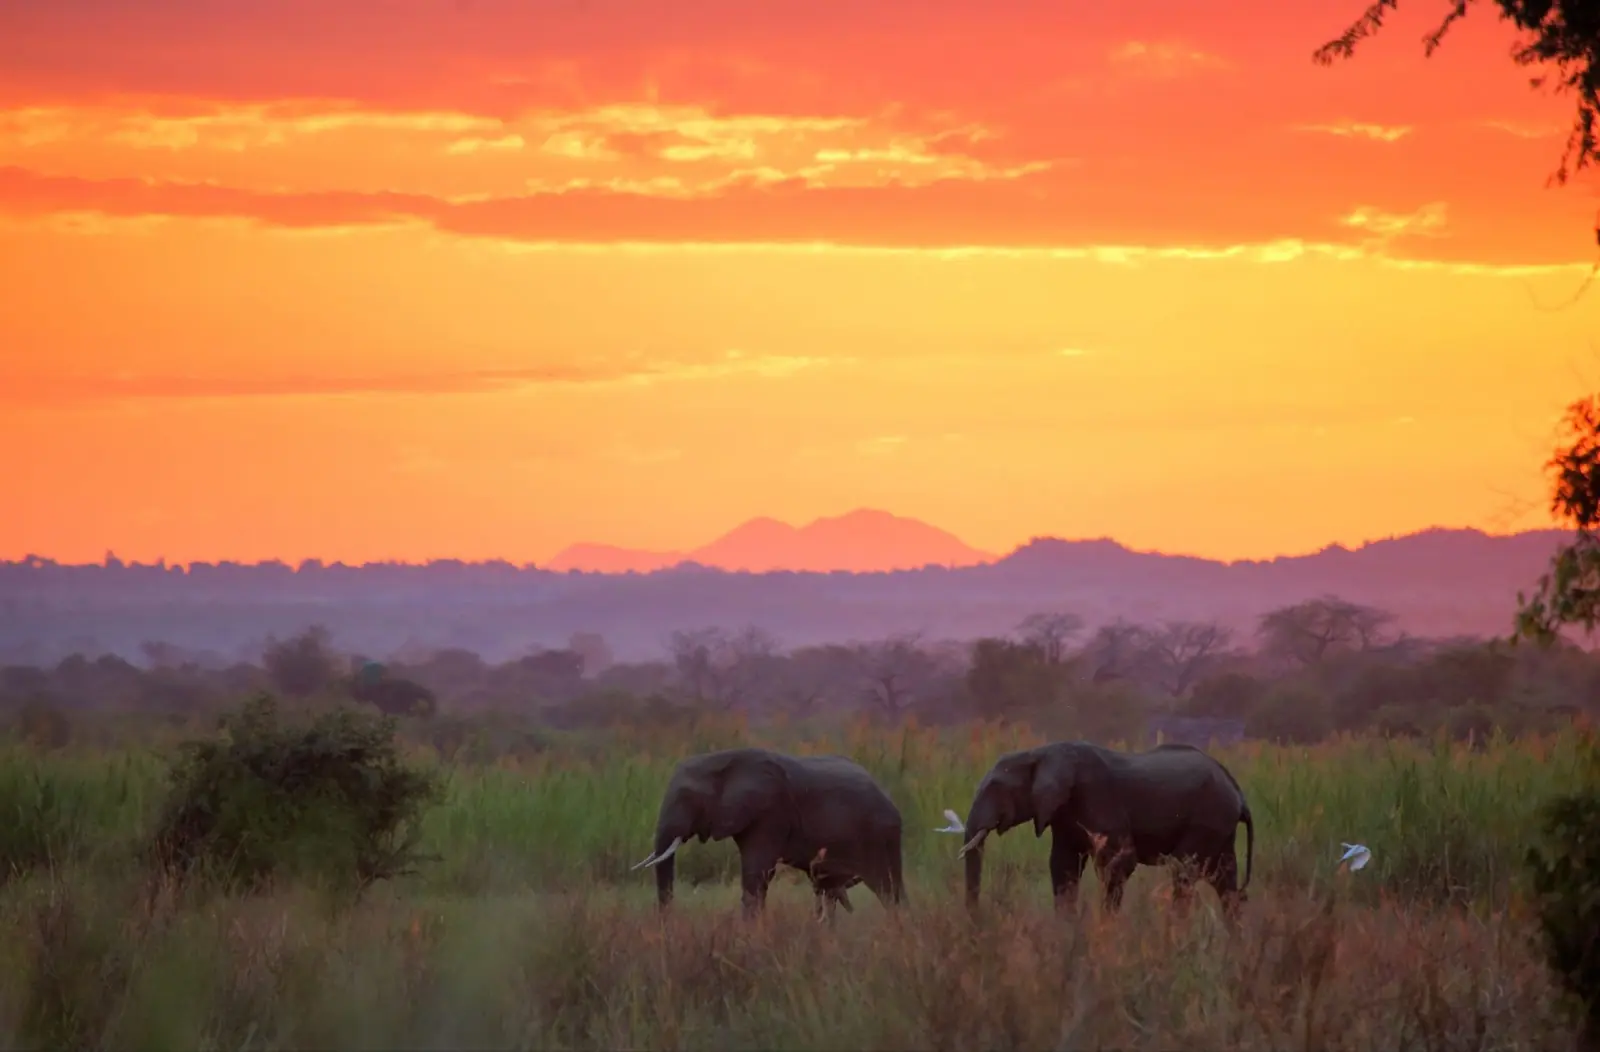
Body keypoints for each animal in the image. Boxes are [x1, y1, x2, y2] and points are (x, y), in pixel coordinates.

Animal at [630, 745, 908, 920]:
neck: (721, 760)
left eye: (685, 798)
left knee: (887, 888)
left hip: (879, 836)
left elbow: (757, 871)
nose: (667, 923)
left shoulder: (770, 812)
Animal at [953, 738, 1254, 920]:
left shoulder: (1097, 796)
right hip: (1220, 826)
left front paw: (1106, 930)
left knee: (1183, 872)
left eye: (996, 787)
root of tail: (1239, 792)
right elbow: (1063, 865)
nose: (977, 920)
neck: (1041, 752)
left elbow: (1119, 862)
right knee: (1224, 880)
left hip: (1208, 817)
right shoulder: (1063, 813)